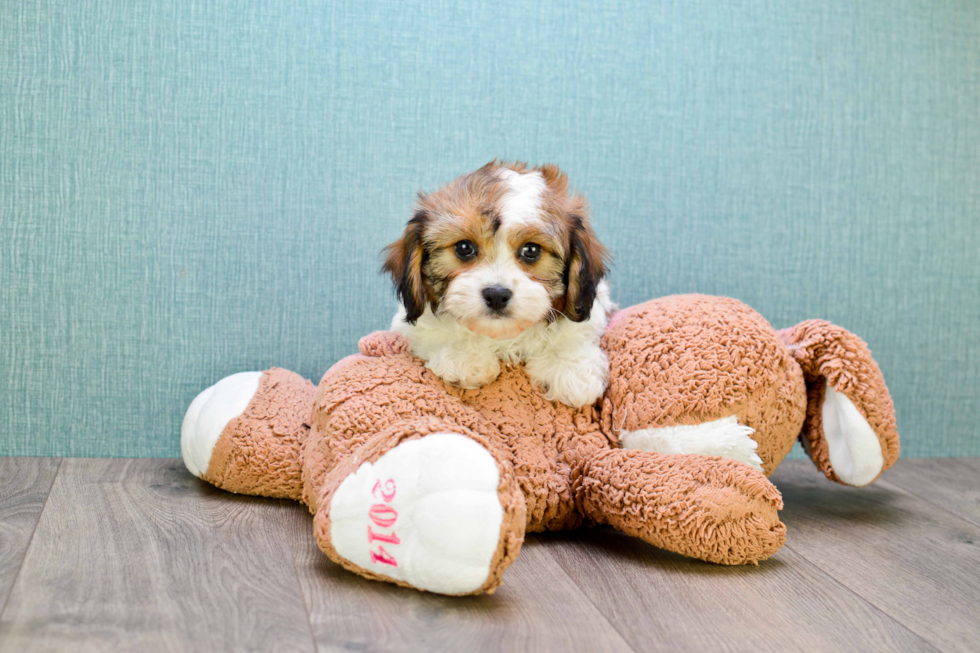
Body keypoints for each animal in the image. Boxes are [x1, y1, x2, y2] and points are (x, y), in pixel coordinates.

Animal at [382, 162, 612, 408]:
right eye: (464, 247)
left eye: (532, 250)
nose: (496, 295)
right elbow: (434, 330)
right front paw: (464, 355)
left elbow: (575, 331)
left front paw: (571, 367)